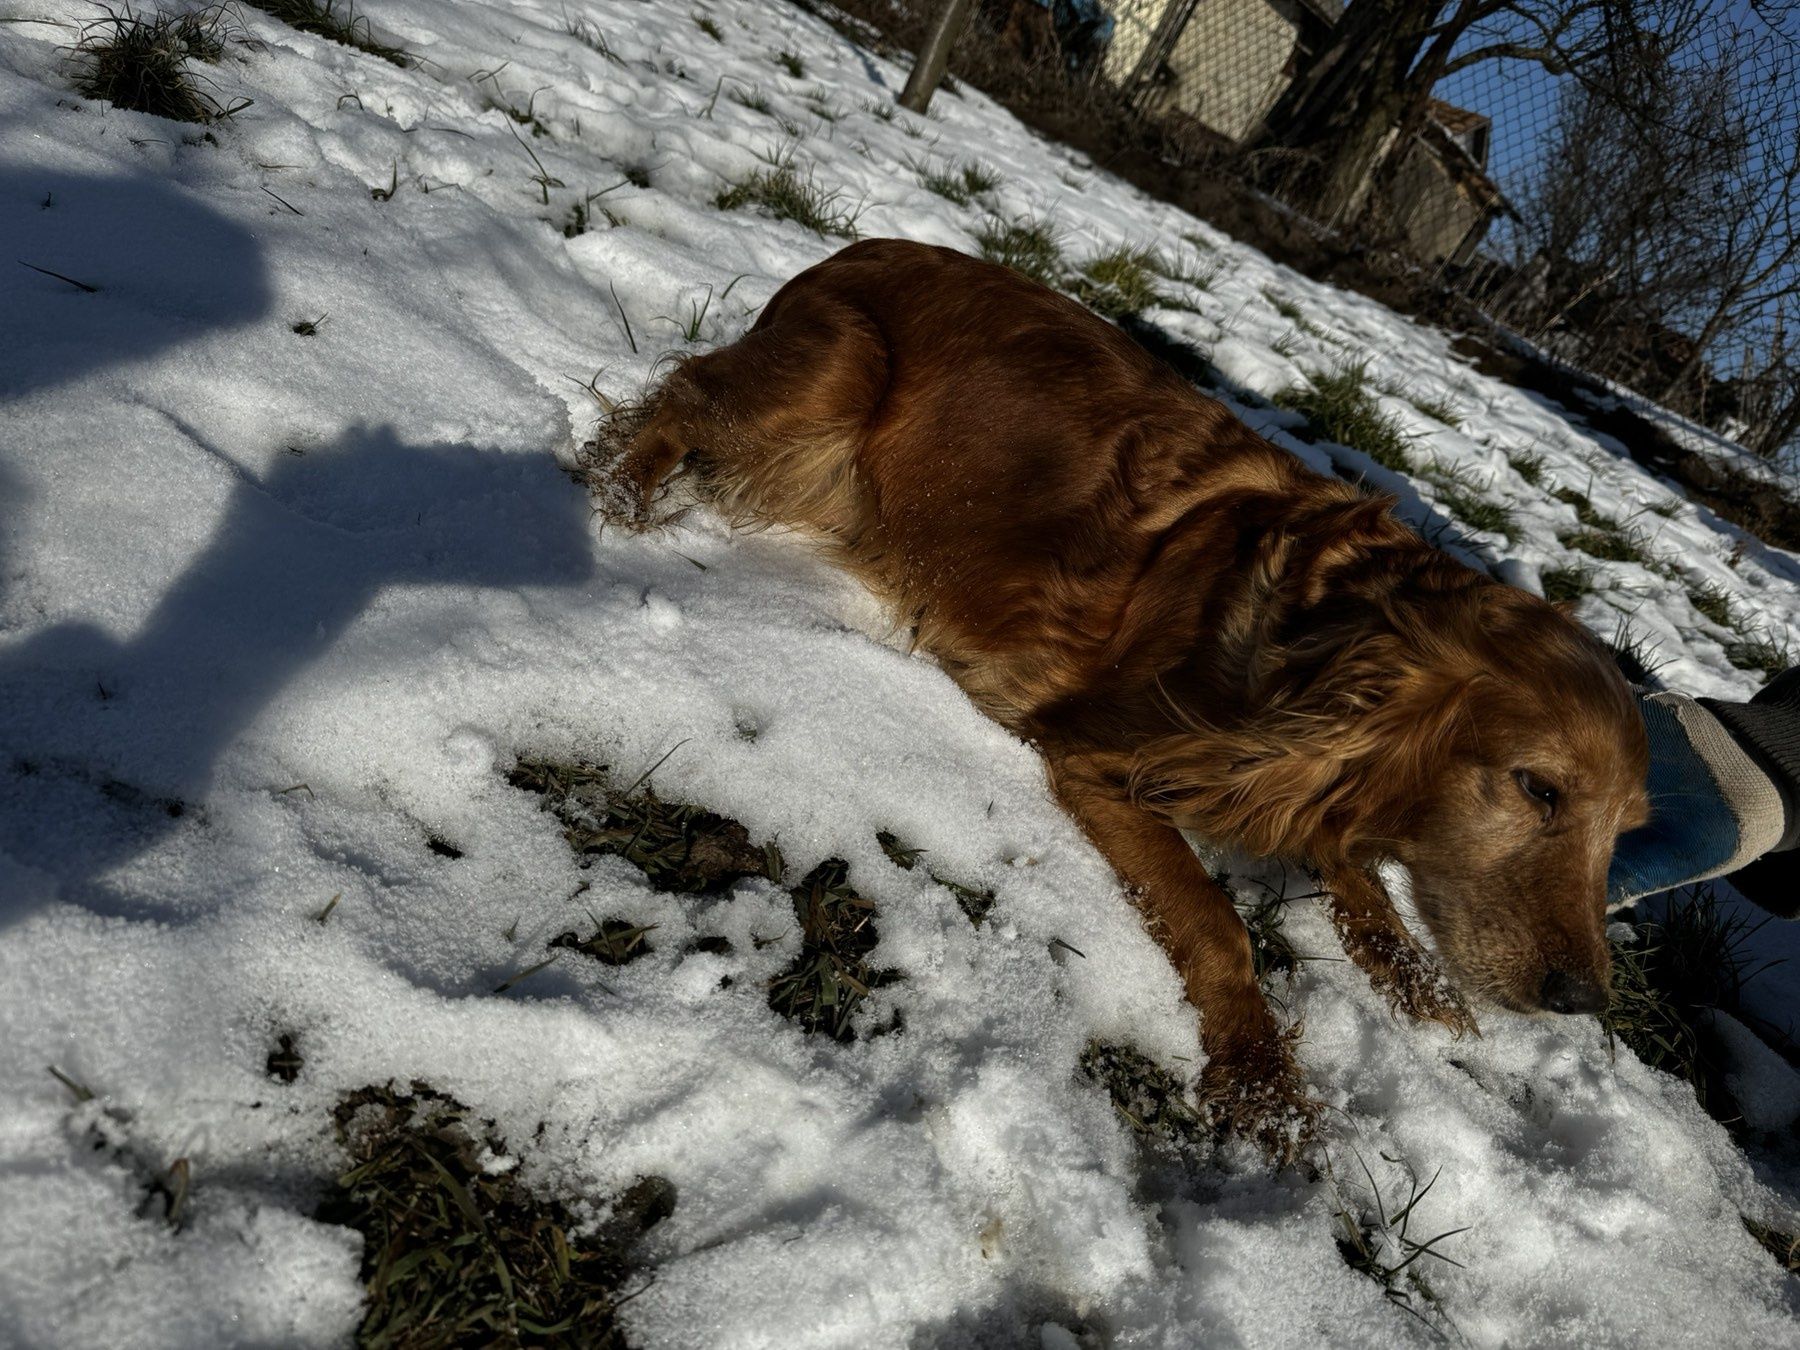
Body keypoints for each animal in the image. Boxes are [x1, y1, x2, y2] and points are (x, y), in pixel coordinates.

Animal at [597, 237, 1648, 1159]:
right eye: (1537, 788)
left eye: (1623, 833)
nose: (1583, 1000)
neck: (1319, 631)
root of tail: (859, 246)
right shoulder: (1103, 757)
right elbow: (1220, 923)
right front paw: (1265, 1081)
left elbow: (1352, 866)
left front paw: (1416, 977)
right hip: (837, 370)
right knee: (680, 398)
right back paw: (621, 496)